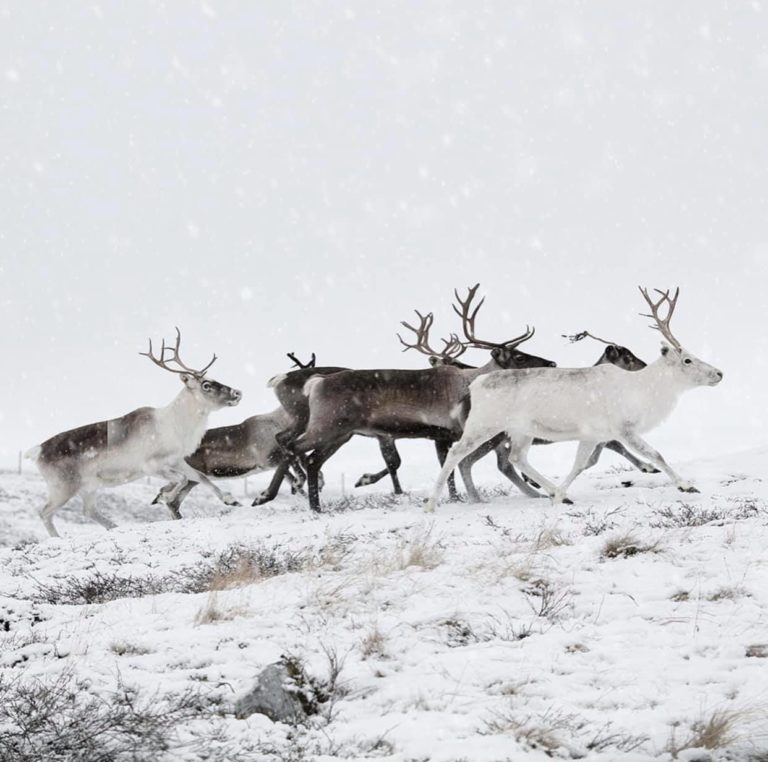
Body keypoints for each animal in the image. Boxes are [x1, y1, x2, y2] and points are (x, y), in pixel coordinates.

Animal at [25, 329, 242, 537]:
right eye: (206, 385)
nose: (237, 393)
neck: (175, 424)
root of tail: (38, 450)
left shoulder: (177, 460)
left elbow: (200, 477)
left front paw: (231, 500)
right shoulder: (150, 466)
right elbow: (181, 479)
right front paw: (165, 497)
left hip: (89, 487)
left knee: (88, 510)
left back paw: (115, 528)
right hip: (63, 487)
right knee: (45, 512)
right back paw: (58, 538)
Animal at [150, 352, 316, 519]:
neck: (280, 421)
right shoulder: (268, 461)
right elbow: (297, 480)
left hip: (187, 477)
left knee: (168, 497)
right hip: (190, 475)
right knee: (170, 499)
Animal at [275, 285, 556, 512]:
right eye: (519, 356)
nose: (552, 362)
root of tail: (316, 383)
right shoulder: (451, 431)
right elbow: (453, 465)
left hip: (341, 433)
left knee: (308, 456)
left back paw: (309, 502)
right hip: (328, 426)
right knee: (294, 447)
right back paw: (291, 495)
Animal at [424, 287, 723, 512]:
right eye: (687, 360)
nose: (719, 373)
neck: (645, 392)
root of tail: (475, 385)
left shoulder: (593, 434)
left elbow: (581, 463)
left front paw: (560, 495)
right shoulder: (622, 428)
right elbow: (655, 454)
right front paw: (687, 485)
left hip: (521, 431)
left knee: (516, 458)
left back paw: (554, 492)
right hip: (484, 425)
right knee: (458, 453)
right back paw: (431, 504)